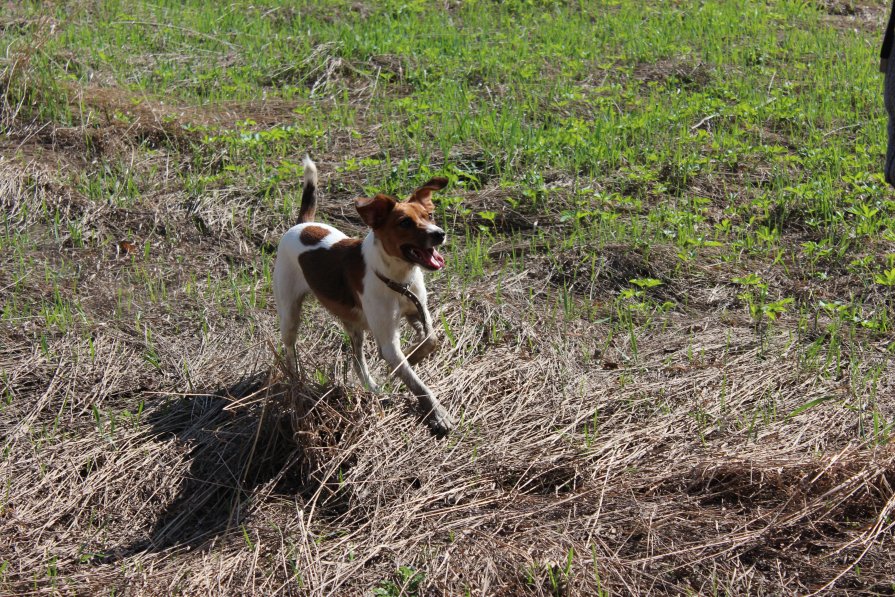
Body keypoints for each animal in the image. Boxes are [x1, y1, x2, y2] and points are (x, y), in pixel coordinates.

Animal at [272, 157, 456, 438]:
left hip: (354, 324)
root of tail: (300, 224)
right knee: (289, 348)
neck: (397, 278)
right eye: (405, 222)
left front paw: (412, 355)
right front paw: (437, 413)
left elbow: (430, 339)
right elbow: (415, 381)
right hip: (290, 313)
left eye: (430, 216)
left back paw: (372, 387)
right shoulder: (389, 342)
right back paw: (295, 380)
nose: (439, 233)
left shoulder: (416, 309)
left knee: (358, 361)